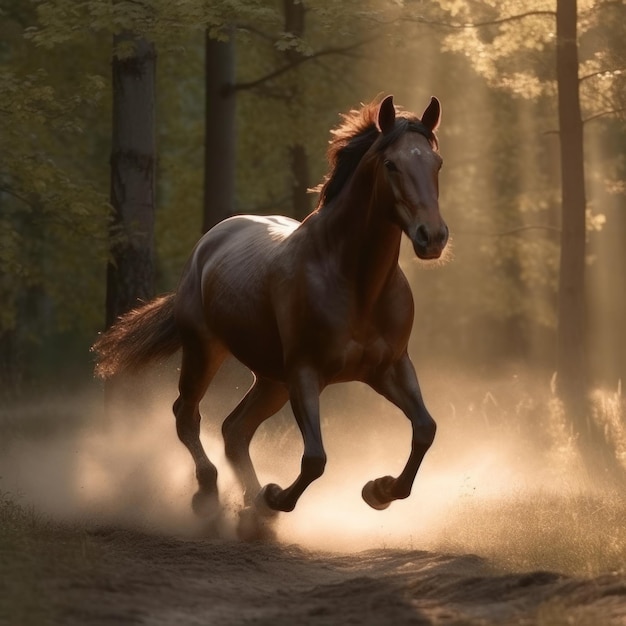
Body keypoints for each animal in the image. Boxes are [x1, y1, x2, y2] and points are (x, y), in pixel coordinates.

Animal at [92, 95, 446, 532]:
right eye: (391, 164)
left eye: (437, 163)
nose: (432, 237)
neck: (354, 281)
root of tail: (208, 243)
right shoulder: (305, 373)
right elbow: (314, 459)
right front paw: (275, 496)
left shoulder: (390, 368)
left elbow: (425, 429)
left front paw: (378, 491)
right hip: (205, 352)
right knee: (187, 415)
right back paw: (210, 497)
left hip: (271, 380)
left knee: (234, 430)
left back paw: (251, 510)